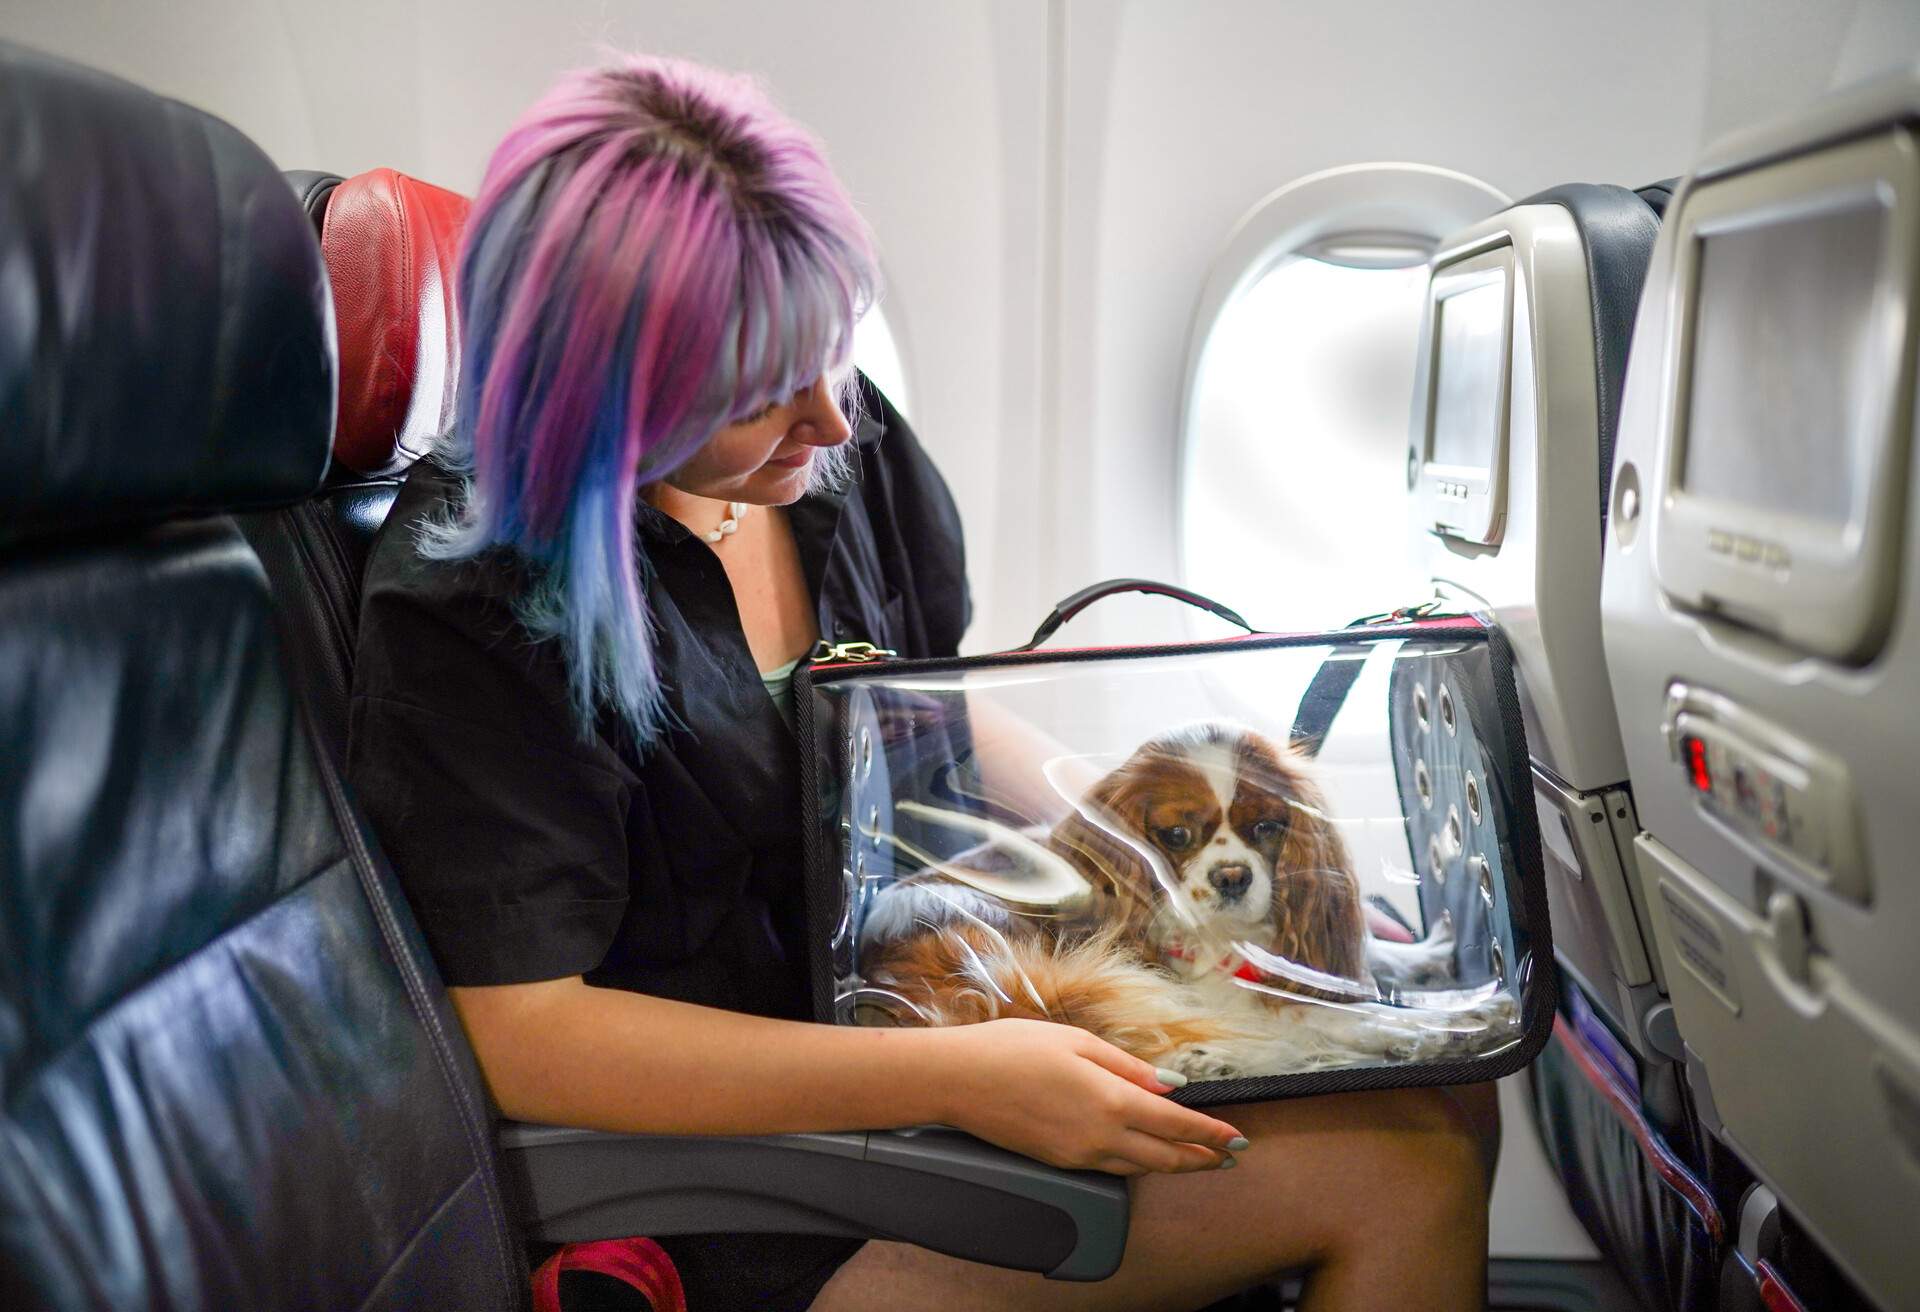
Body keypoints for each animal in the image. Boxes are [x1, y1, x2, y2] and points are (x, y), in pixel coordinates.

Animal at [856, 722, 1512, 1083]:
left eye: (1268, 828)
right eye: (1175, 835)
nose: (1232, 877)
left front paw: (1427, 958)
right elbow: (1349, 1017)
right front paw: (1458, 1023)